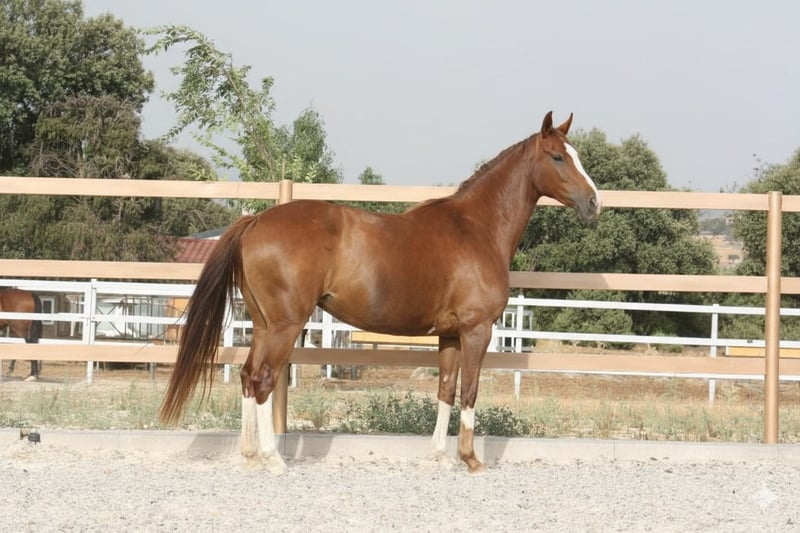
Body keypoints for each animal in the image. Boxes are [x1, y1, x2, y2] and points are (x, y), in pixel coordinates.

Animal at [160, 111, 602, 473]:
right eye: (558, 157)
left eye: (575, 154)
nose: (594, 202)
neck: (476, 228)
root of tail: (255, 221)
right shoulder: (477, 330)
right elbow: (470, 390)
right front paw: (471, 459)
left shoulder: (449, 335)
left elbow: (445, 389)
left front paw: (439, 457)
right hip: (285, 325)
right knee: (264, 378)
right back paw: (273, 460)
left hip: (264, 324)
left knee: (248, 377)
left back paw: (250, 455)